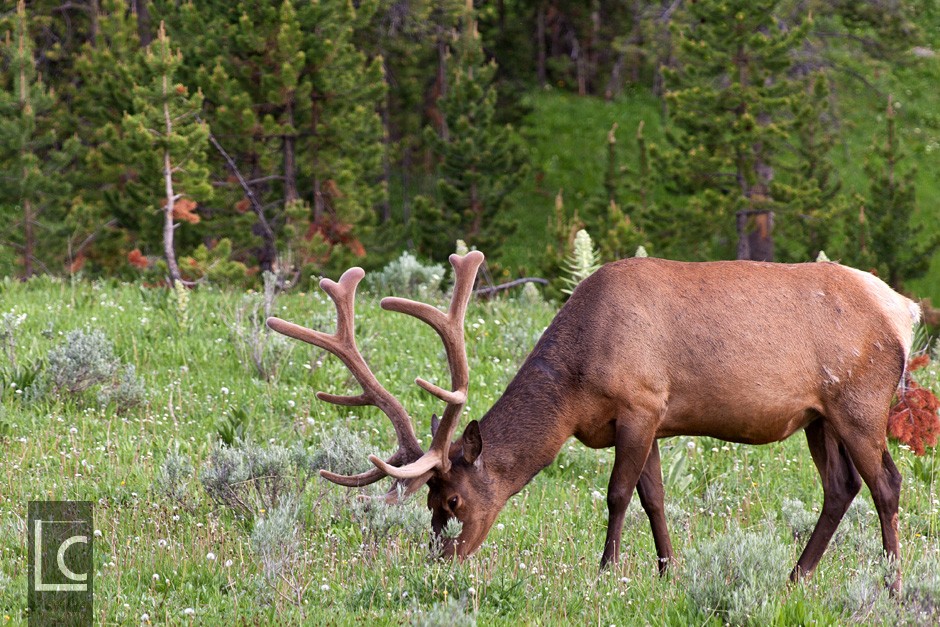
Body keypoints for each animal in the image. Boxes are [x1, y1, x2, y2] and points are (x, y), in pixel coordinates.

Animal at [264, 251, 916, 592]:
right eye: (427, 501)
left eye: (451, 499)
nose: (439, 561)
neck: (576, 385)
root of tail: (903, 311)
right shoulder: (655, 419)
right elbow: (655, 497)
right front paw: (668, 573)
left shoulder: (640, 404)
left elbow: (619, 494)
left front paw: (606, 570)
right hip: (819, 416)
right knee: (841, 488)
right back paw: (795, 576)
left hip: (861, 402)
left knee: (887, 484)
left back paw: (890, 579)